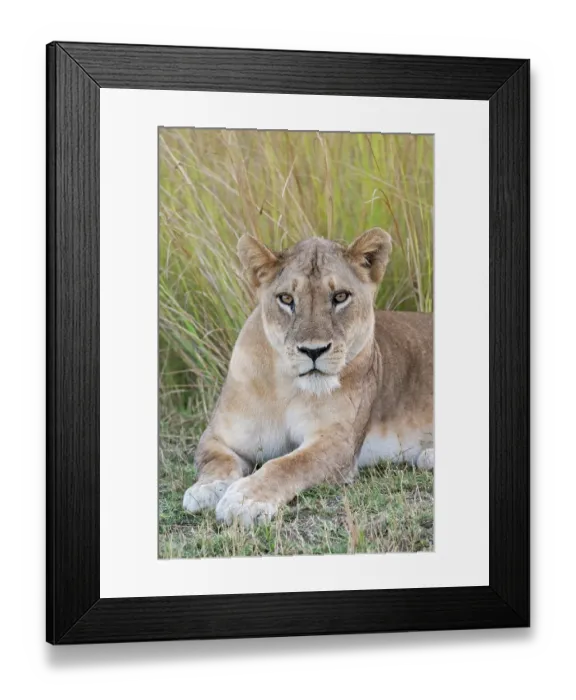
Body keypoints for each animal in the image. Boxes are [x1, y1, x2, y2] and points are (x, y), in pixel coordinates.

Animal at [183, 228, 434, 527]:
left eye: (340, 296)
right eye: (286, 299)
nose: (313, 351)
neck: (286, 387)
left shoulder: (337, 443)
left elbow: (286, 465)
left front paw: (244, 500)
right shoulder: (219, 435)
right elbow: (216, 460)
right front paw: (206, 488)